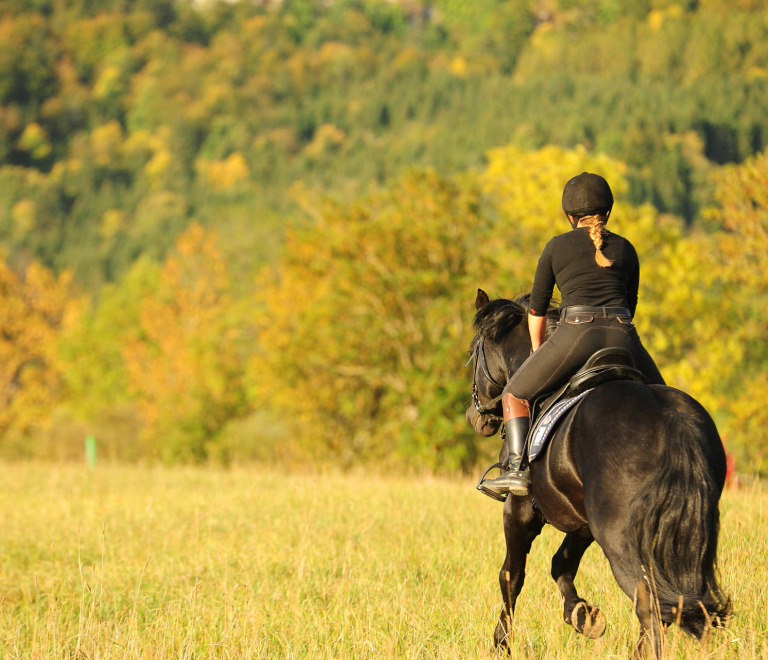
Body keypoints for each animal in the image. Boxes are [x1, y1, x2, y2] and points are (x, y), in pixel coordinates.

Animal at [464, 292, 728, 656]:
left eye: (474, 351)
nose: (473, 417)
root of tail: (672, 419)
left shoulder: (519, 512)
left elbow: (511, 577)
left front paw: (501, 643)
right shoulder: (582, 522)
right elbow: (560, 564)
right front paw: (584, 617)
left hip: (619, 540)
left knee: (650, 604)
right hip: (688, 535)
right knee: (688, 605)